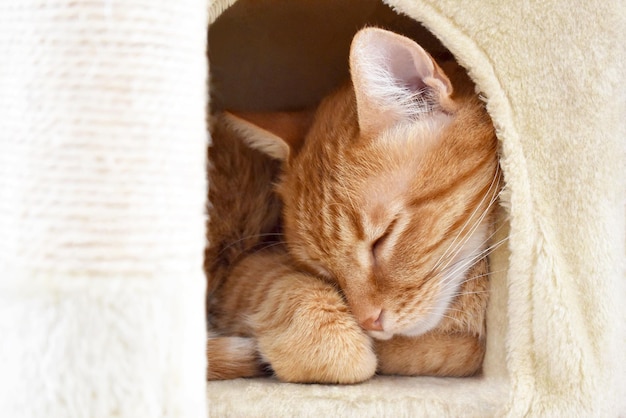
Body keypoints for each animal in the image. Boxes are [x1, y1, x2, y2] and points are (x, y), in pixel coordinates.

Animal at [207, 27, 500, 384]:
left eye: (382, 239)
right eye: (322, 270)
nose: (368, 322)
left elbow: (457, 353)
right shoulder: (250, 268)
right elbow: (297, 297)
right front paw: (340, 349)